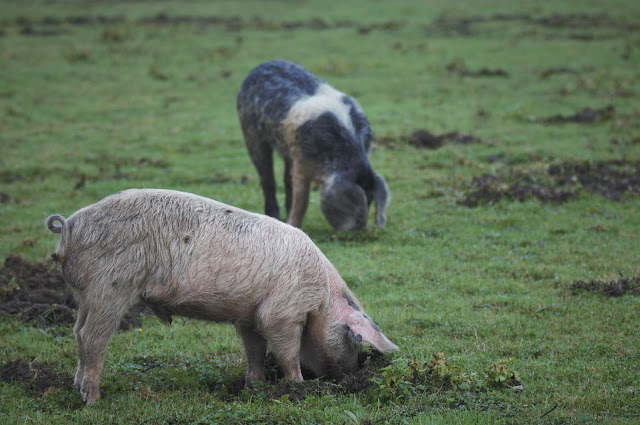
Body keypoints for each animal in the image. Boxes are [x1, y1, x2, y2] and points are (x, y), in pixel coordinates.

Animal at [46, 188, 396, 400]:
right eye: (354, 339)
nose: (350, 376)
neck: (321, 298)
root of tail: (70, 226)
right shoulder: (283, 312)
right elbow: (288, 351)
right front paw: (298, 388)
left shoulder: (249, 315)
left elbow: (254, 350)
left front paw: (254, 387)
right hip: (110, 287)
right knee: (92, 337)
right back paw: (92, 399)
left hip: (86, 294)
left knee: (77, 332)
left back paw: (77, 388)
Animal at [236, 58, 390, 230]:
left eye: (370, 201)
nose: (361, 230)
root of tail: (261, 65)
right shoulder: (301, 162)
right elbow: (302, 200)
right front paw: (293, 224)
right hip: (250, 130)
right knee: (267, 177)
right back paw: (275, 215)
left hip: (287, 148)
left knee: (286, 178)